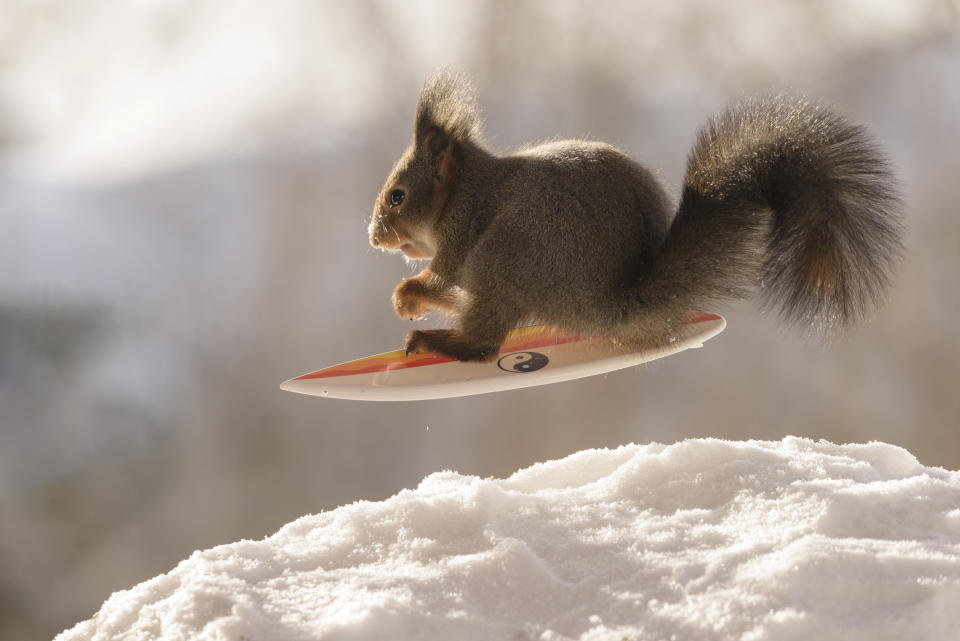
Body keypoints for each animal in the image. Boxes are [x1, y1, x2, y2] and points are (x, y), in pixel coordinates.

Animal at [368, 70, 900, 362]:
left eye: (397, 196)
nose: (374, 237)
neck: (461, 188)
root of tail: (610, 304)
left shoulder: (465, 229)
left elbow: (445, 277)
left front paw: (407, 296)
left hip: (504, 257)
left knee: (484, 345)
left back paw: (436, 342)